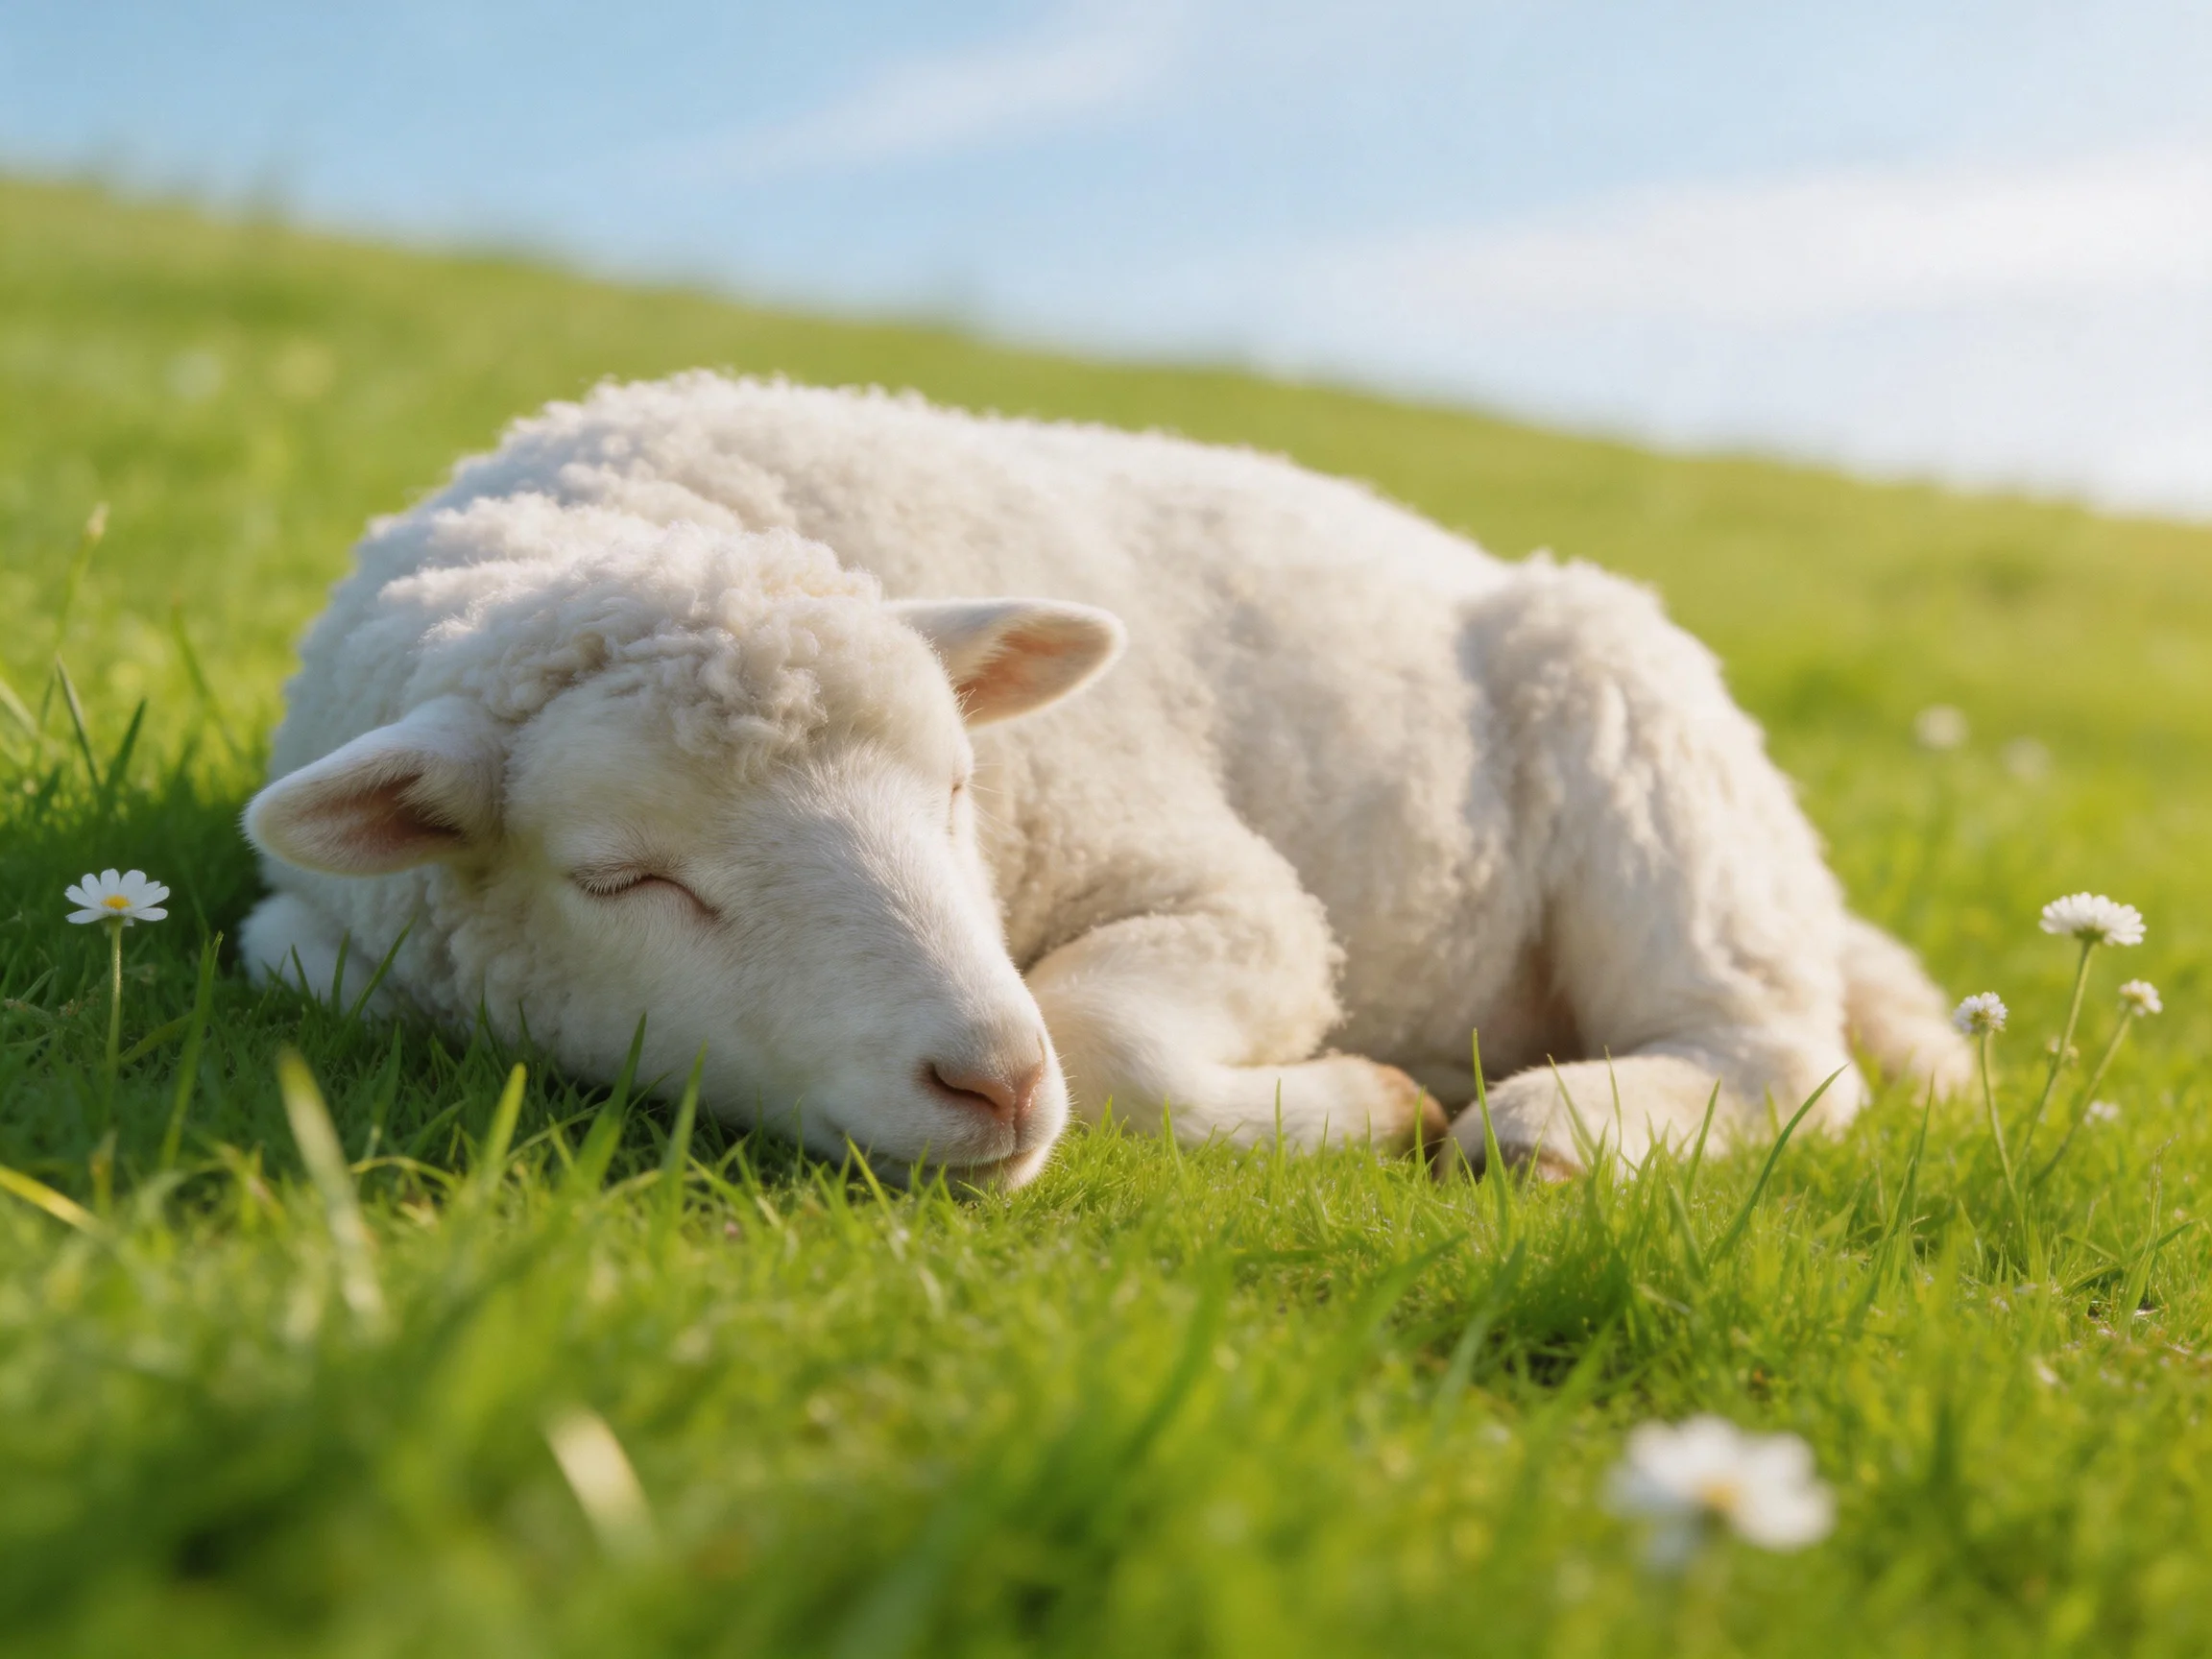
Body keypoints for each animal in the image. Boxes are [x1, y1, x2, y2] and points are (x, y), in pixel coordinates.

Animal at [241, 372, 1970, 1185]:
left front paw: (1368, 1100)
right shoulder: (307, 938)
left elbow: (1107, 1037)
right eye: (623, 879)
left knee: (1781, 1062)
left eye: (957, 786)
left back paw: (1546, 1126)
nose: (990, 1084)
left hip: (1642, 740)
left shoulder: (1240, 896)